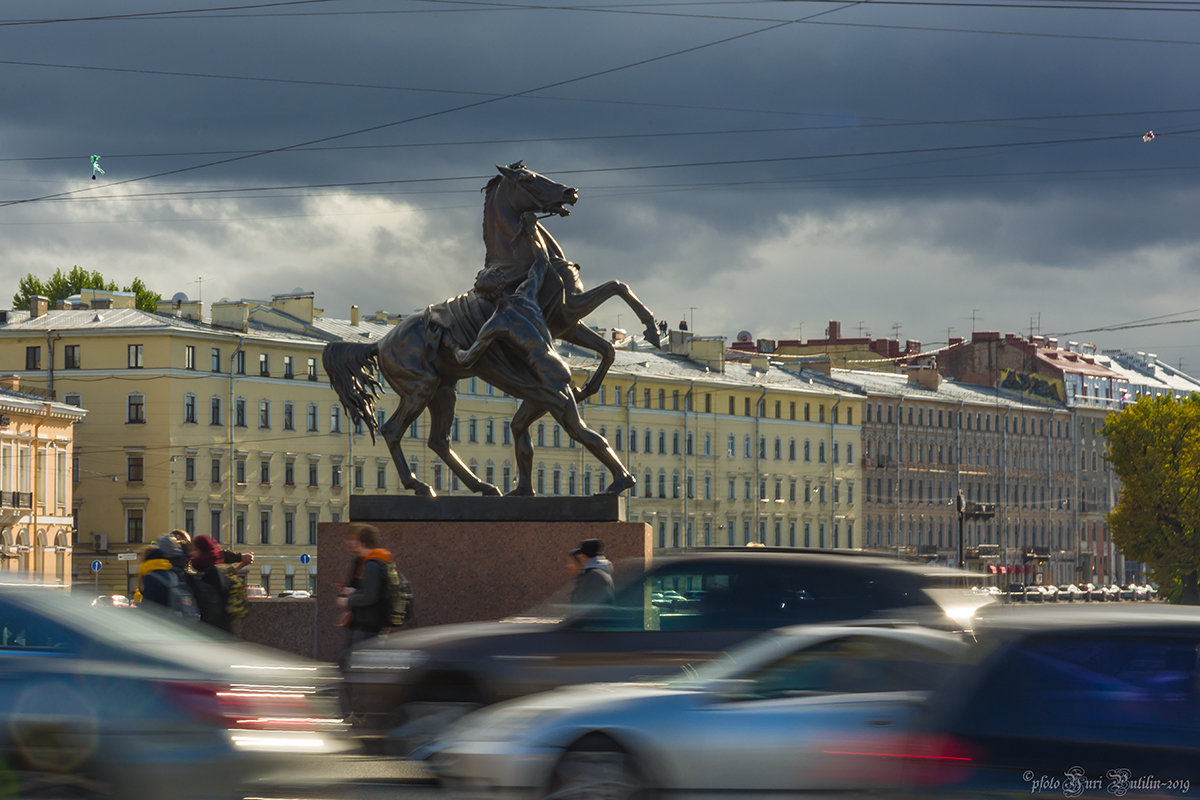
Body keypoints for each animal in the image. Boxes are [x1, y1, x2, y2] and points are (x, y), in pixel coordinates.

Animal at [319, 164, 657, 494]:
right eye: (528, 179)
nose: (569, 192)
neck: (517, 264)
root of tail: (380, 344)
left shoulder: (566, 324)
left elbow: (608, 346)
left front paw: (587, 387)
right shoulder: (568, 311)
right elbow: (617, 286)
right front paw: (652, 329)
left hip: (444, 390)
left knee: (439, 440)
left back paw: (483, 486)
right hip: (420, 389)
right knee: (392, 430)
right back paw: (420, 485)